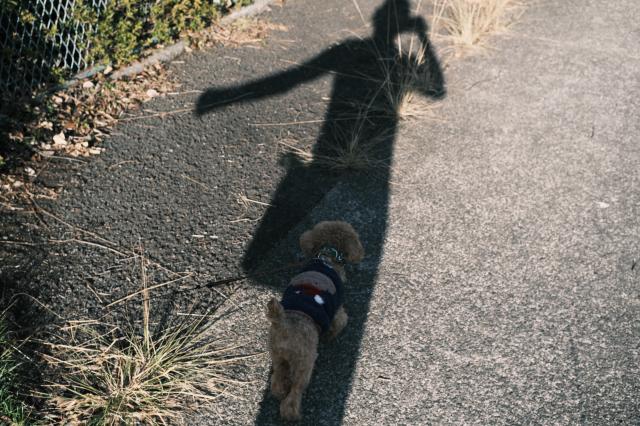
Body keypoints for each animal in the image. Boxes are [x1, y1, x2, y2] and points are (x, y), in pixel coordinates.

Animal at [266, 220, 364, 421]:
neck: (327, 256)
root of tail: (284, 323)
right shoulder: (337, 312)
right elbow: (339, 322)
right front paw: (329, 337)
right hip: (305, 361)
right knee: (296, 390)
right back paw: (292, 414)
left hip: (277, 353)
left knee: (278, 378)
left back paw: (279, 391)